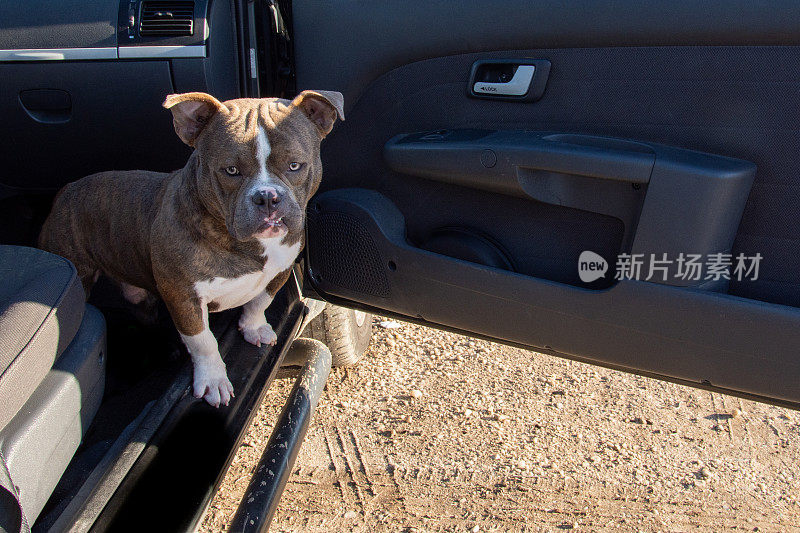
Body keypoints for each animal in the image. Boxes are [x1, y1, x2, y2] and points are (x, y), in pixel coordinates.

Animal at [39, 90, 344, 408]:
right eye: (231, 171)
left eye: (295, 165)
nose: (268, 197)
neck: (247, 245)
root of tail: (66, 190)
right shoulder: (182, 296)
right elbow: (203, 341)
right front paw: (213, 380)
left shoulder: (279, 272)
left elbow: (259, 302)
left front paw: (252, 327)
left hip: (137, 294)